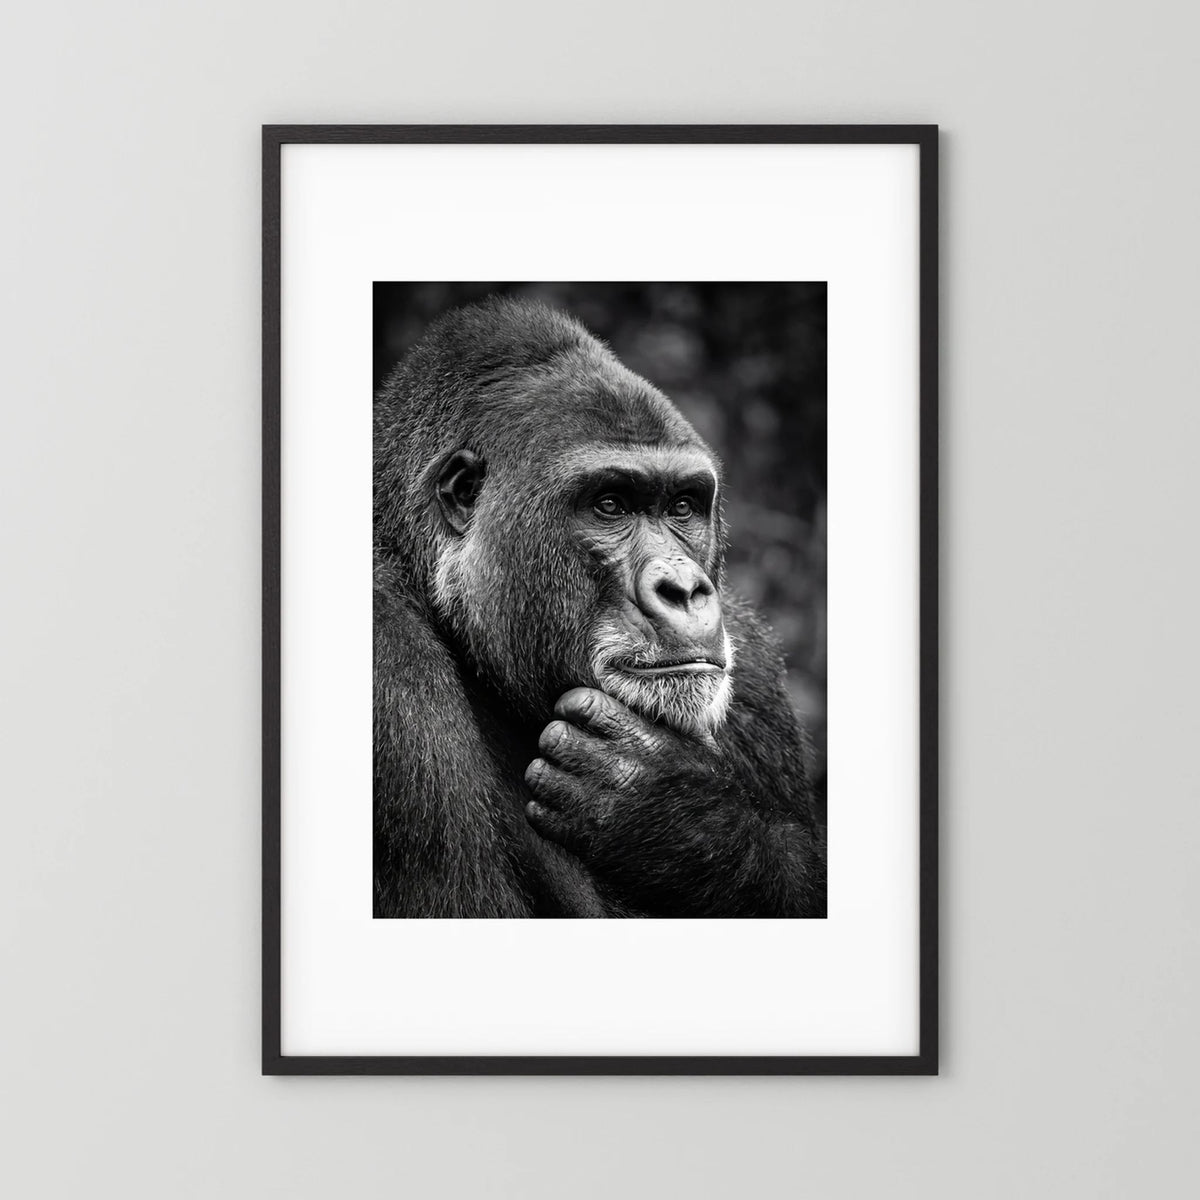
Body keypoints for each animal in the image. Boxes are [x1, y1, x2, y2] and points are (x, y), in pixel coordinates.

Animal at [373, 297, 826, 917]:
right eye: (610, 505)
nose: (684, 589)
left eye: (682, 505)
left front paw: (678, 812)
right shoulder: (388, 667)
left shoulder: (754, 666)